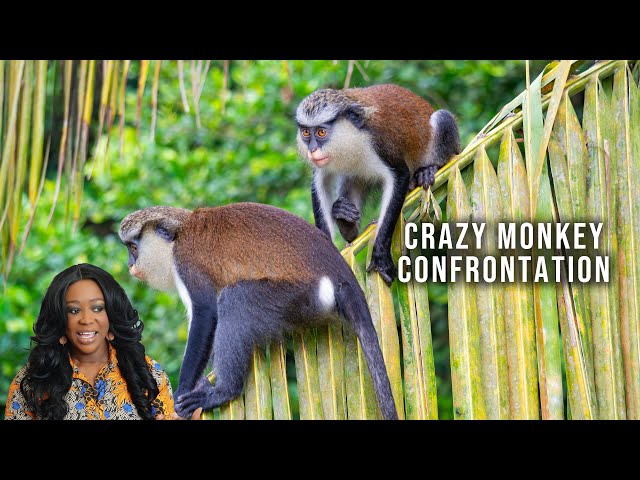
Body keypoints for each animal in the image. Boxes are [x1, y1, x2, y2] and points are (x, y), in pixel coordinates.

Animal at [119, 203, 398, 420]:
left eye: (133, 248)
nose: (130, 265)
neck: (181, 230)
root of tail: (341, 275)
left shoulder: (186, 262)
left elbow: (206, 314)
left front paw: (180, 393)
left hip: (302, 298)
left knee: (236, 300)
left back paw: (224, 391)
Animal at [296, 84, 461, 285]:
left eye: (321, 132)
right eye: (306, 132)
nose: (312, 150)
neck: (352, 137)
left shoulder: (381, 143)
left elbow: (399, 176)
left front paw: (381, 255)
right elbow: (319, 185)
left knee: (442, 118)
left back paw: (427, 171)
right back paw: (346, 221)